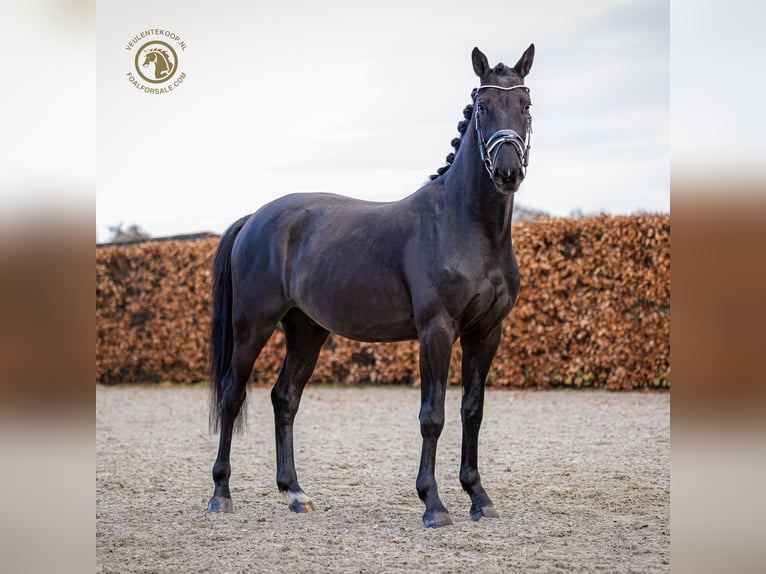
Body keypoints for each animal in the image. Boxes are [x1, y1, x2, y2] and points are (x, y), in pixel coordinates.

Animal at [207, 44, 535, 528]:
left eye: (525, 106)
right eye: (482, 106)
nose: (507, 171)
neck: (465, 226)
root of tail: (255, 218)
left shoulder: (486, 332)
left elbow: (471, 411)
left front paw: (479, 497)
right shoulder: (436, 330)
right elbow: (432, 415)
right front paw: (433, 504)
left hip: (306, 330)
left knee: (284, 398)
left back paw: (295, 493)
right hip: (253, 327)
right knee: (232, 394)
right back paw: (221, 493)